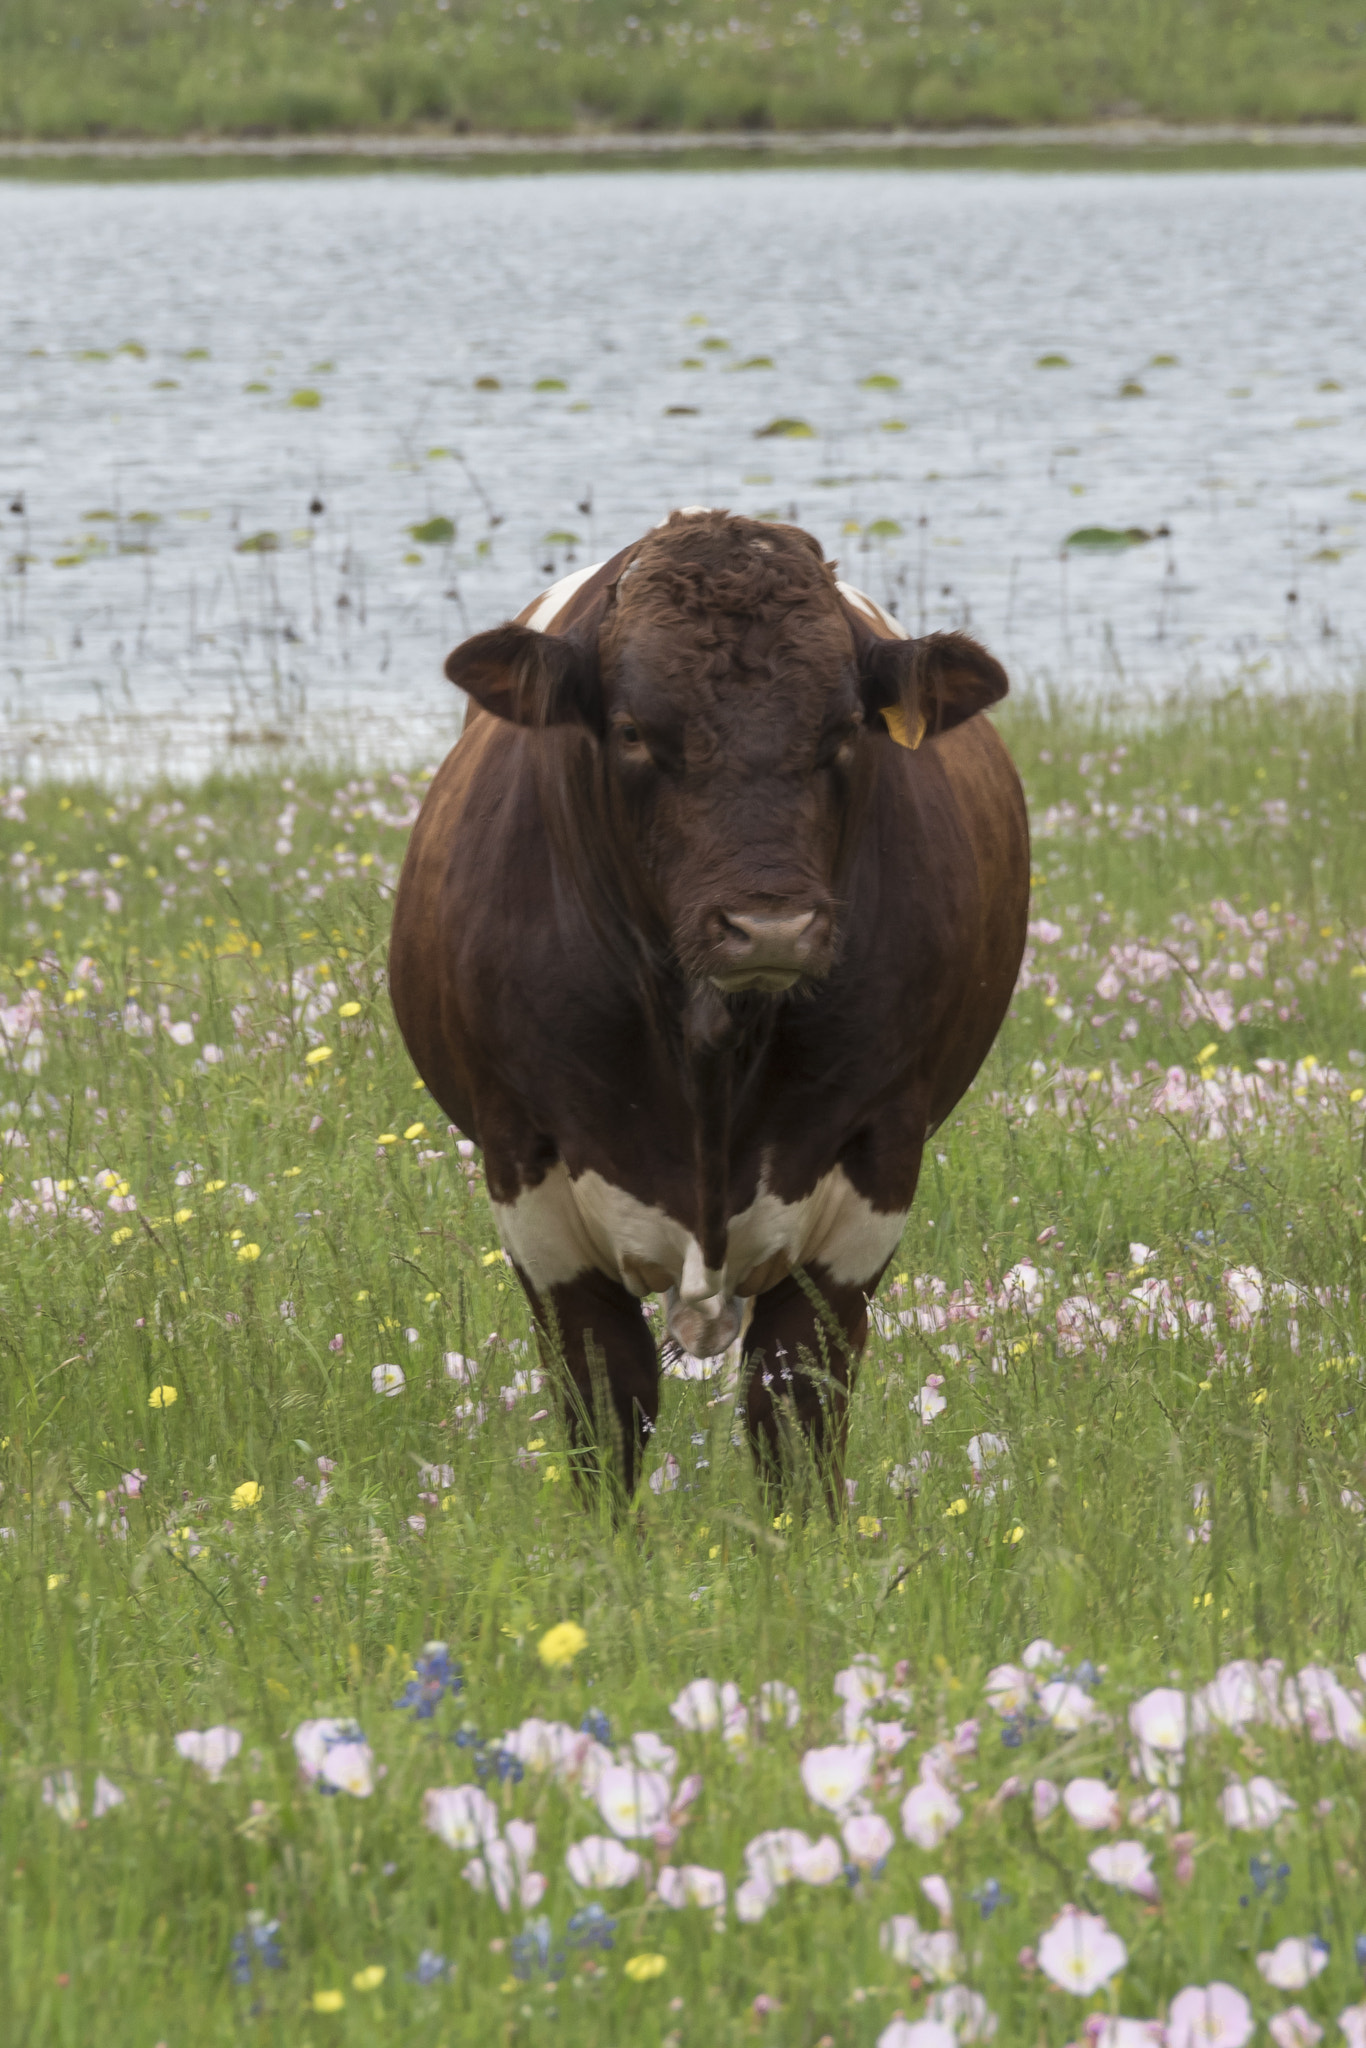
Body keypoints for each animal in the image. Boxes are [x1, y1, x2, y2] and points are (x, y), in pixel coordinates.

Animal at [389, 509, 1032, 1499]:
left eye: (846, 728)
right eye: (631, 731)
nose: (769, 925)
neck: (707, 1049)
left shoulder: (870, 1170)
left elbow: (794, 1415)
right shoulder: (529, 1175)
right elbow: (607, 1408)